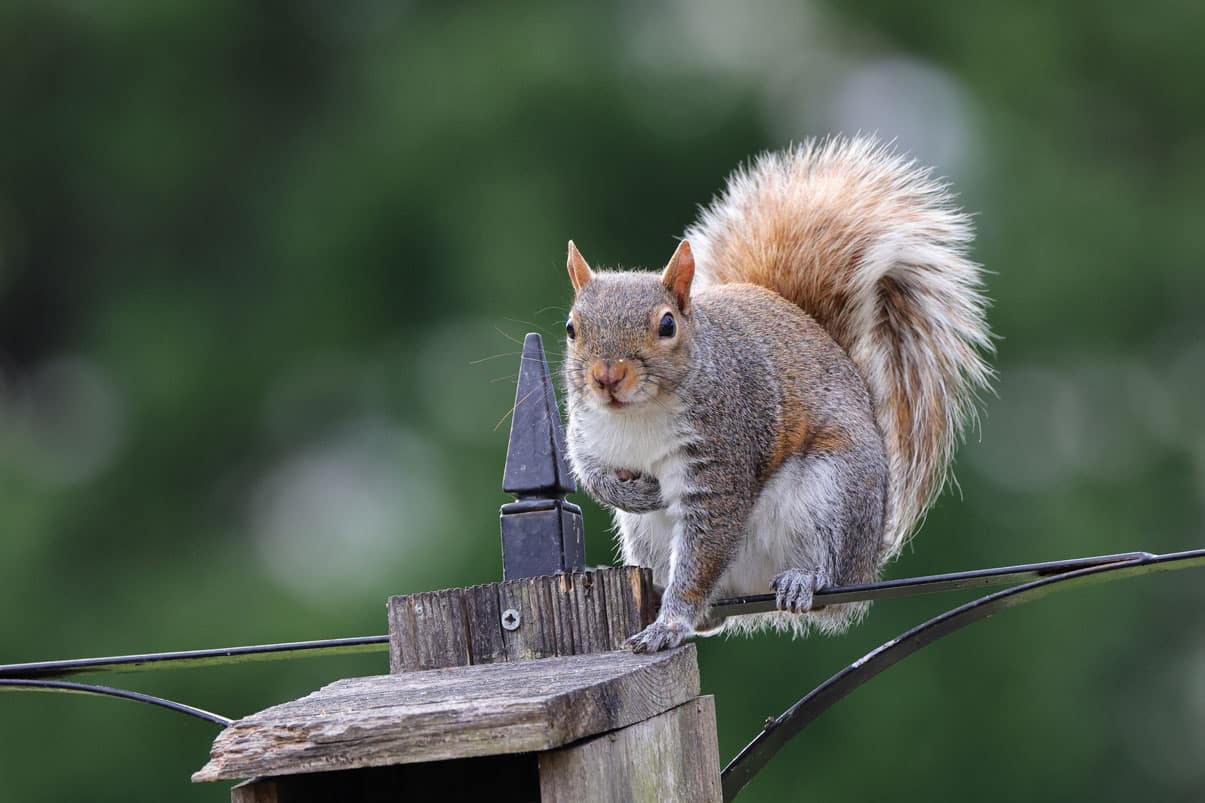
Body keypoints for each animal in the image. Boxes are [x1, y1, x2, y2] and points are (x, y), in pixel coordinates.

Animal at [562, 135, 993, 653]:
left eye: (667, 325)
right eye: (571, 328)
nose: (606, 377)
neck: (636, 415)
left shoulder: (723, 452)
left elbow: (705, 546)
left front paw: (671, 624)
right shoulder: (586, 431)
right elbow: (589, 472)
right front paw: (631, 492)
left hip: (834, 494)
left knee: (823, 575)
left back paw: (802, 580)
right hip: (648, 538)